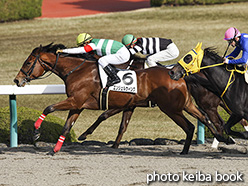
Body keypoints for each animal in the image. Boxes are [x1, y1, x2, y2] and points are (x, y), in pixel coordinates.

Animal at [14, 43, 211, 154]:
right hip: (186, 104)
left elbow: (48, 108)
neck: (77, 71)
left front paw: (36, 132)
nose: (17, 80)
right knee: (204, 119)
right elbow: (67, 127)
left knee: (190, 126)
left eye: (28, 62)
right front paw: (55, 149)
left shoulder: (77, 101)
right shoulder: (78, 105)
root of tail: (179, 75)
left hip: (171, 108)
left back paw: (186, 150)